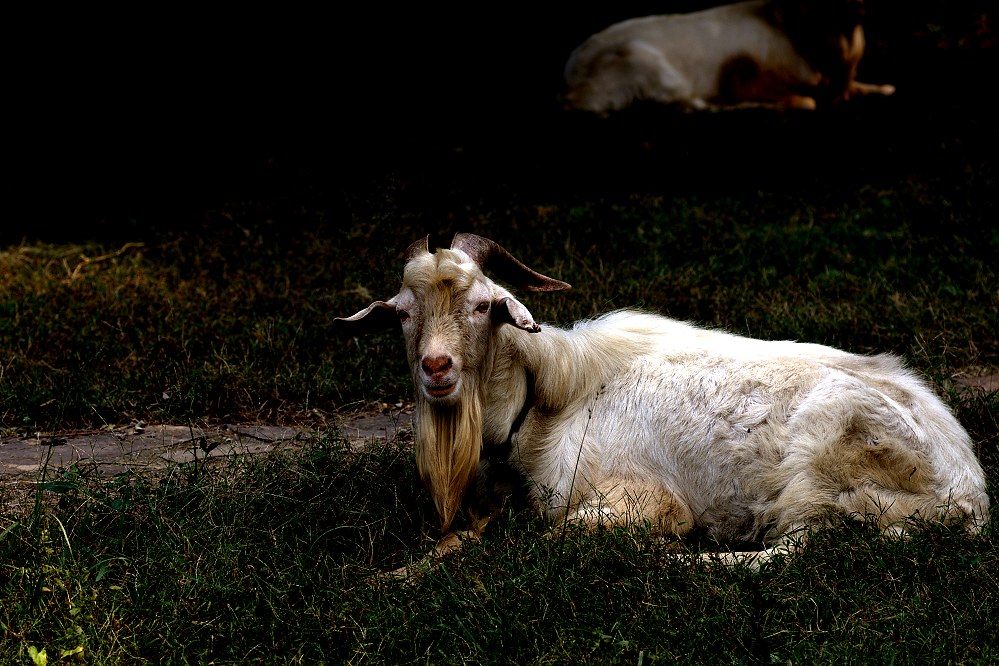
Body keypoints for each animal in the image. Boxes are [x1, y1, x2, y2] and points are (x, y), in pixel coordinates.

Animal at [334, 233, 984, 572]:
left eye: (482, 306)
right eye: (403, 314)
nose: (436, 369)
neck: (552, 397)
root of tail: (969, 496)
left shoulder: (638, 501)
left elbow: (545, 539)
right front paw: (394, 574)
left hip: (828, 461)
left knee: (793, 548)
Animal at [564, 0, 900, 113]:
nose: (861, 4)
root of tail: (570, 92)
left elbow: (869, 87)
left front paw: (883, 89)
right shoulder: (744, 80)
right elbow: (806, 102)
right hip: (650, 66)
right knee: (690, 106)